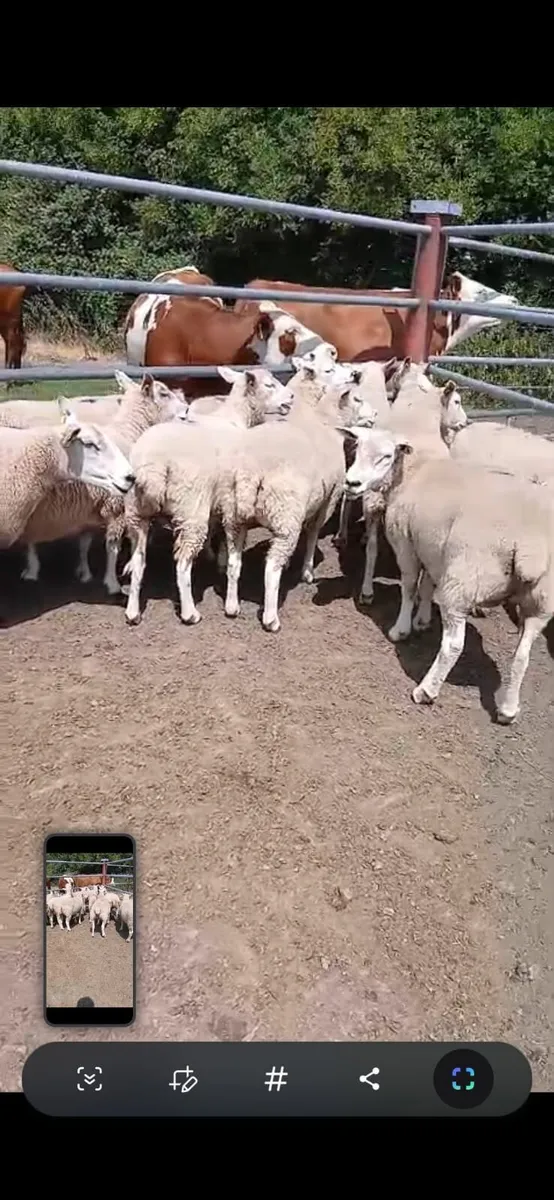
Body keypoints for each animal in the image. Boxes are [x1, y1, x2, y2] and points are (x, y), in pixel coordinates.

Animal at [19, 374, 186, 592]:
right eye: (164, 393)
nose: (187, 409)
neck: (129, 431)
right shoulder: (116, 506)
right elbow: (112, 547)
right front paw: (112, 582)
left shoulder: (89, 507)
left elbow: (84, 543)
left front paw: (84, 573)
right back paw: (32, 569)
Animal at [123, 366, 295, 625]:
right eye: (269, 384)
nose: (291, 397)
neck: (236, 418)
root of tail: (152, 465)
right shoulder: (227, 497)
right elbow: (224, 534)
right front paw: (221, 559)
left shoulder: (217, 497)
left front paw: (212, 556)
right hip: (190, 508)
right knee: (182, 563)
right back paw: (190, 612)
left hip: (137, 513)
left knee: (139, 560)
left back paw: (133, 612)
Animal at [216, 376, 378, 633]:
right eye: (358, 399)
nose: (375, 414)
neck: (326, 423)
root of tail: (248, 472)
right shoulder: (328, 500)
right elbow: (312, 535)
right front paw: (307, 571)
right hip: (285, 515)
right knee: (271, 568)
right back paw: (271, 618)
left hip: (234, 518)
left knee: (234, 562)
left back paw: (232, 606)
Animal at [343, 424, 554, 724]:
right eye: (357, 449)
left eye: (386, 456)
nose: (352, 483)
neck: (412, 473)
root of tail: (530, 546)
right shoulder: (431, 546)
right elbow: (427, 585)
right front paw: (422, 620)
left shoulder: (405, 542)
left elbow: (410, 586)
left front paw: (402, 628)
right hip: (541, 601)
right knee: (523, 653)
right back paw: (508, 709)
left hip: (463, 582)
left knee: (454, 643)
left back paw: (426, 690)